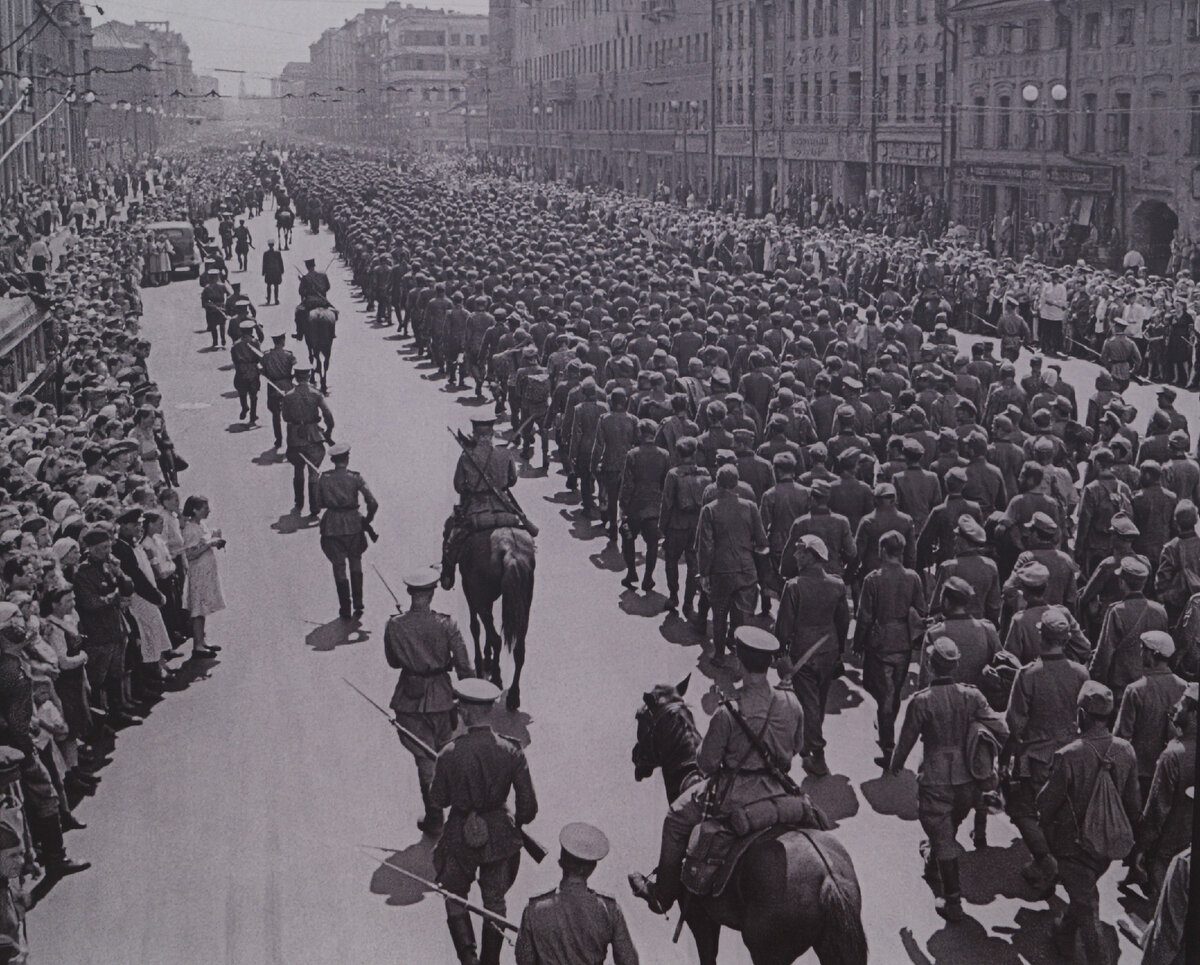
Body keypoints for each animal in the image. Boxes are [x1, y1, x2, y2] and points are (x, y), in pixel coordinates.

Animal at [458, 528, 535, 710]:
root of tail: (510, 554)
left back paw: (496, 678)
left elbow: (475, 627)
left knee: (497, 638)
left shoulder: (469, 587)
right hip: (524, 604)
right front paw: (487, 658)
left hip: (479, 596)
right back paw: (513, 696)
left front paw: (481, 662)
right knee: (519, 650)